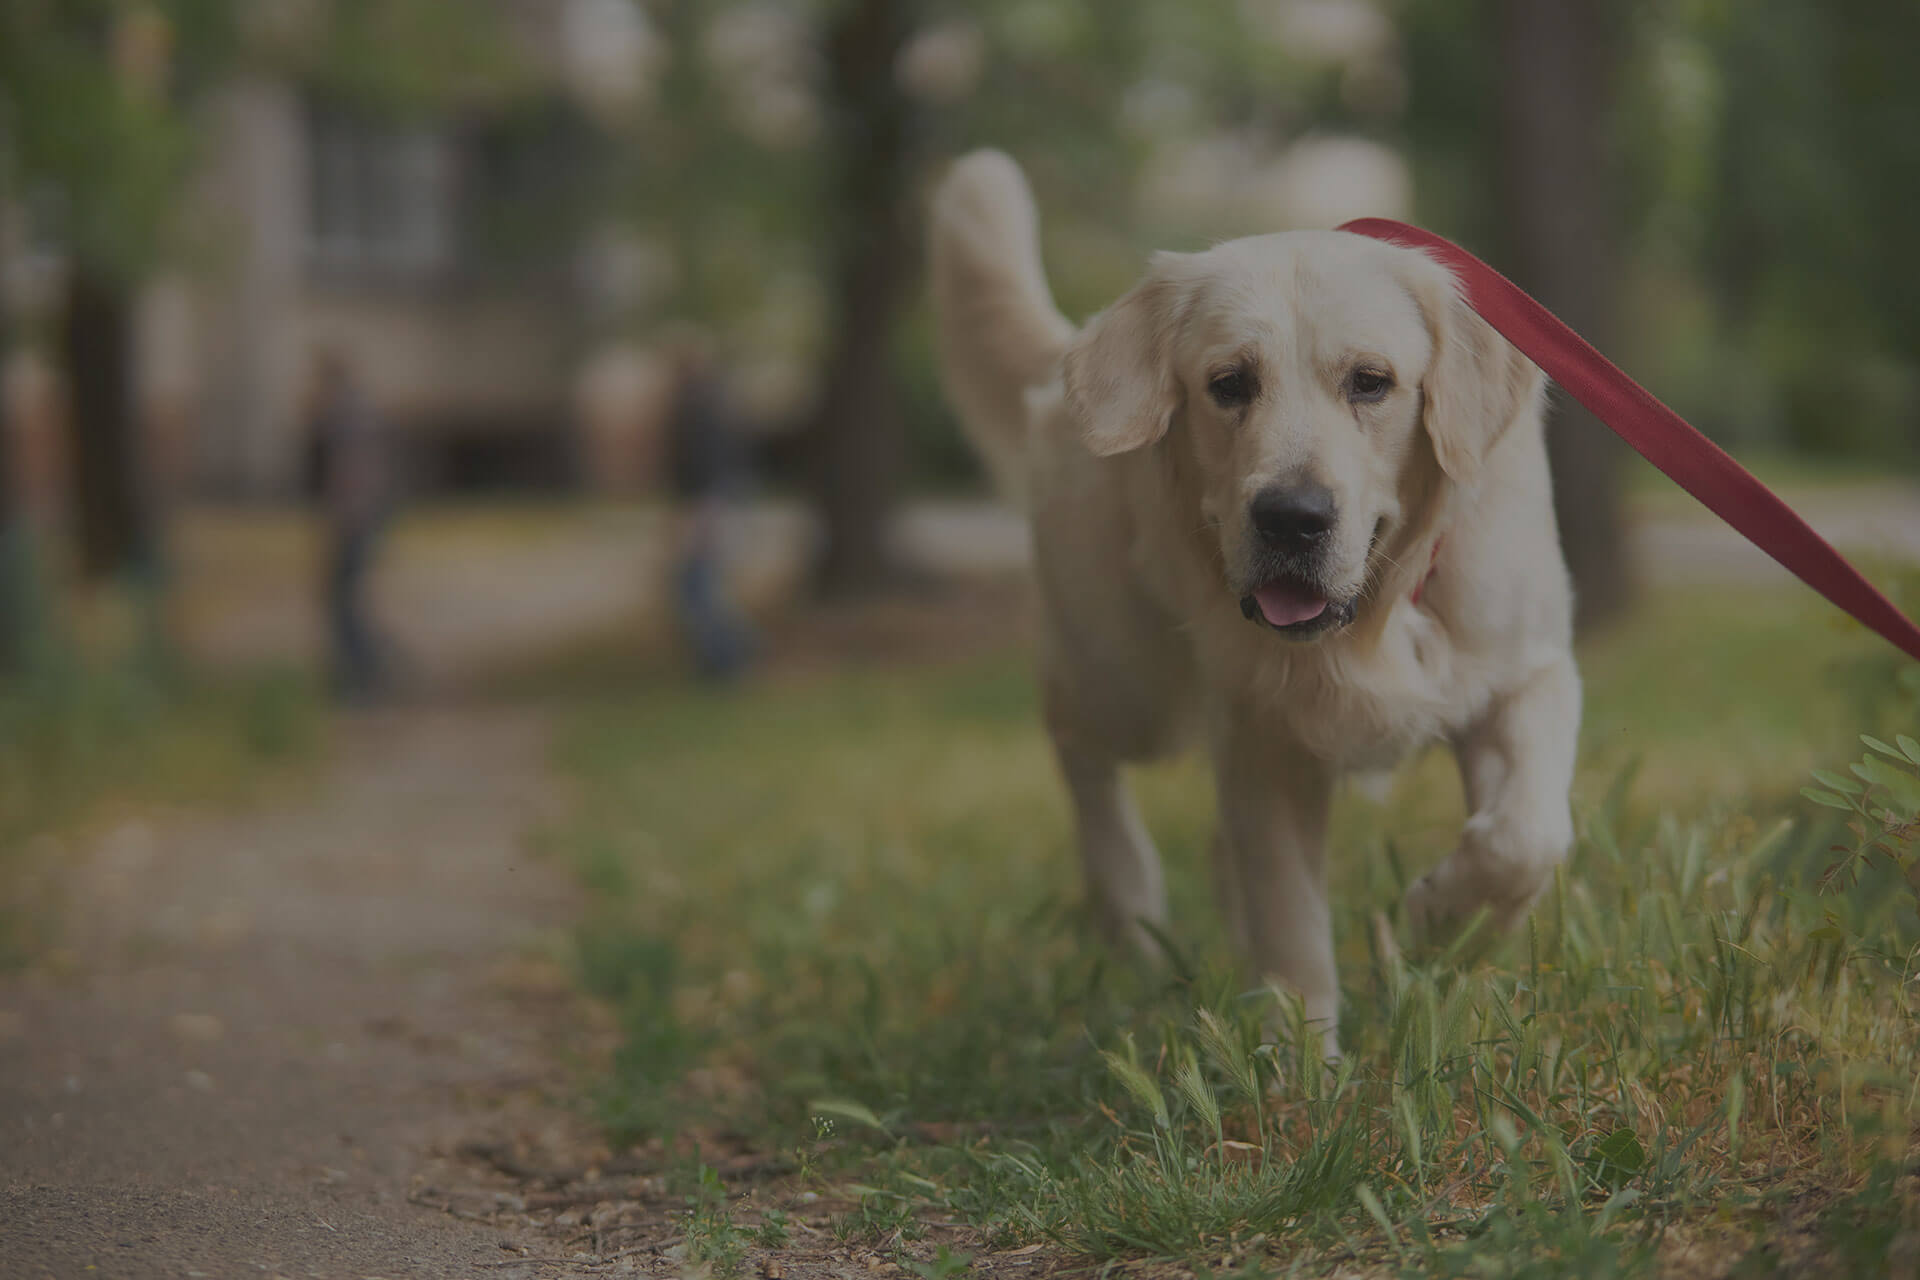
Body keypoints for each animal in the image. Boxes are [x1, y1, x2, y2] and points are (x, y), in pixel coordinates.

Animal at [925, 147, 1574, 1051]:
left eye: (1371, 383)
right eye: (1229, 383)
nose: (1292, 518)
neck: (1376, 616)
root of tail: (1066, 368)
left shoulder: (1524, 671)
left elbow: (1525, 838)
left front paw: (1445, 924)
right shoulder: (1266, 736)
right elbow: (1291, 919)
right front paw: (1304, 1066)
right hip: (1124, 674)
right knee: (1074, 739)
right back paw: (1128, 906)